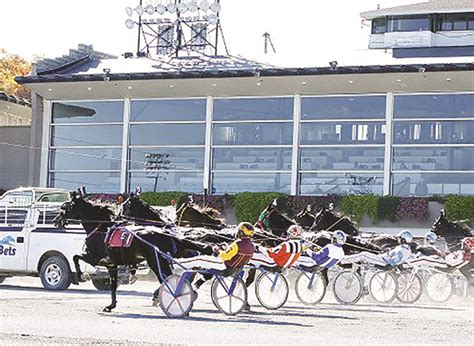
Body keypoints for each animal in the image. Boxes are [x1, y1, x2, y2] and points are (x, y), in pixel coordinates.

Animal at [53, 195, 213, 310]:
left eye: (65, 207)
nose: (55, 220)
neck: (102, 229)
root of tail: (163, 233)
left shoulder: (95, 258)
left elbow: (75, 257)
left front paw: (81, 276)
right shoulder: (112, 265)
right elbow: (112, 285)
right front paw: (111, 305)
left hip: (155, 262)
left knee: (167, 279)